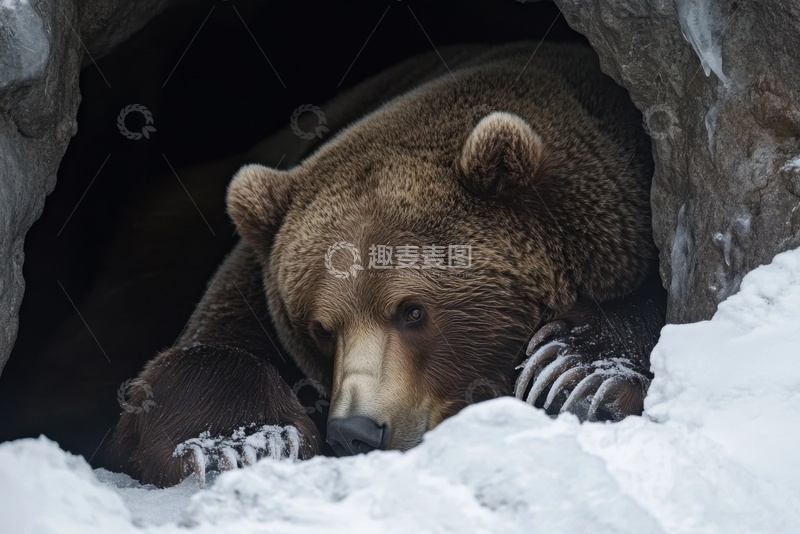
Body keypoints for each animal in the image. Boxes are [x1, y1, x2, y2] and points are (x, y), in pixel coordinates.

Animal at [113, 41, 665, 487]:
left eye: (413, 311)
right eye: (321, 329)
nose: (355, 431)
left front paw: (571, 371)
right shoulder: (254, 270)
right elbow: (209, 349)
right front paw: (244, 443)